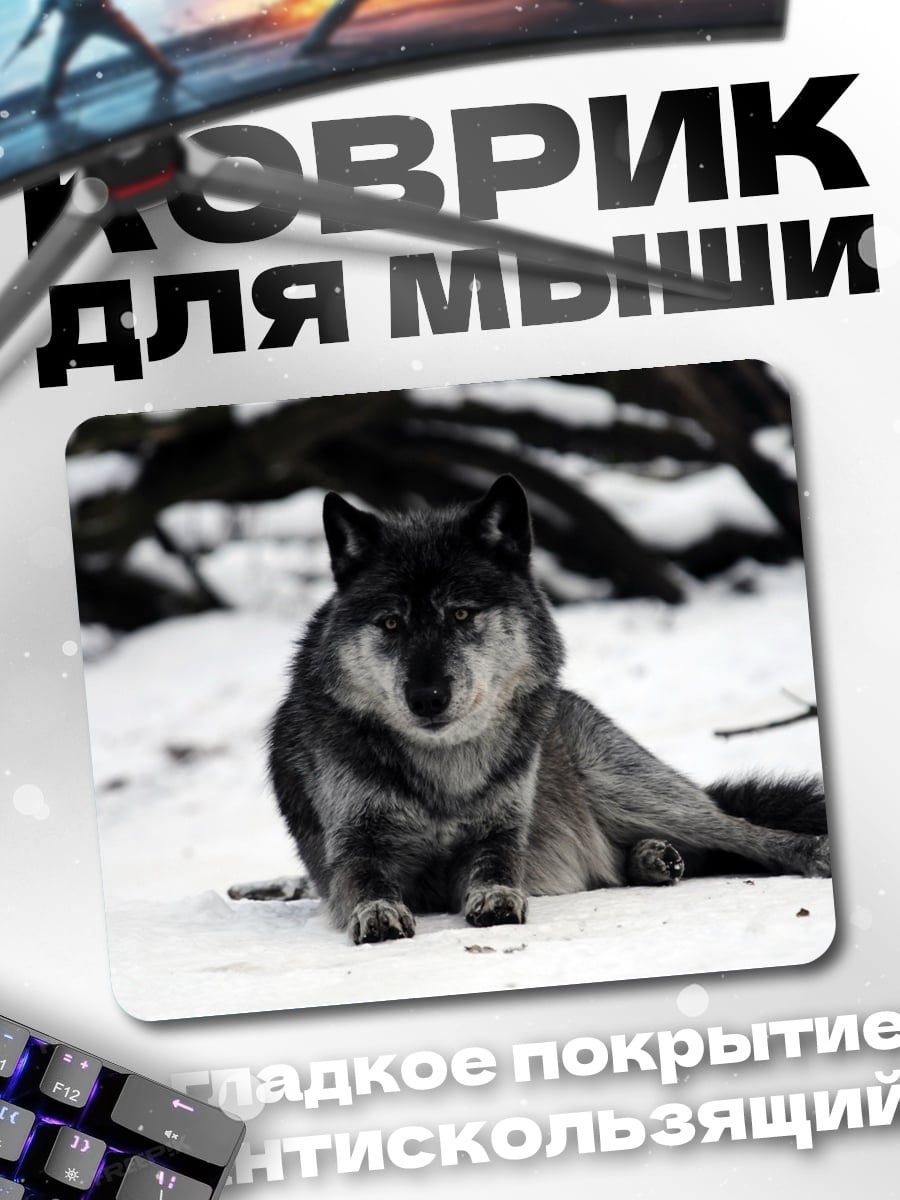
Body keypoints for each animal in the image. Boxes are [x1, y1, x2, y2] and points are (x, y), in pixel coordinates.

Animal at [265, 475, 829, 945]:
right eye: (390, 623)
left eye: (462, 614)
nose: (426, 698)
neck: (446, 771)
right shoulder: (353, 847)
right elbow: (365, 882)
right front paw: (378, 912)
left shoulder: (501, 832)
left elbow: (496, 868)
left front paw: (496, 898)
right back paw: (652, 859)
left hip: (629, 788)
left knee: (739, 830)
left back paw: (805, 852)